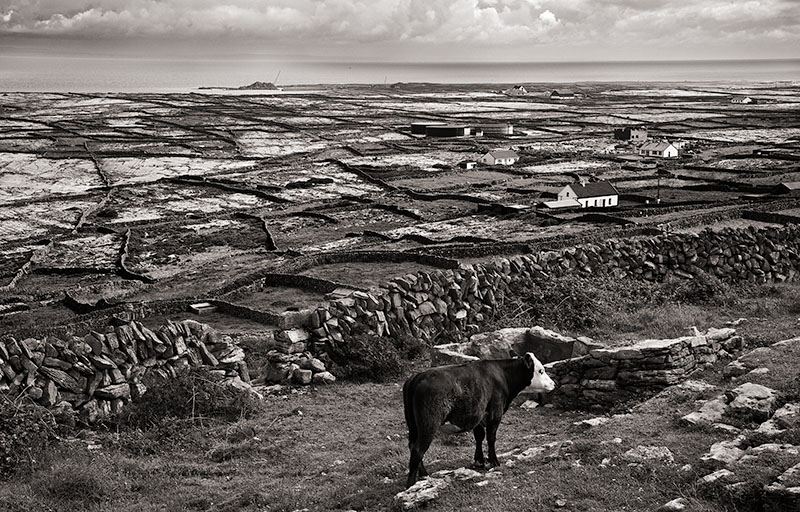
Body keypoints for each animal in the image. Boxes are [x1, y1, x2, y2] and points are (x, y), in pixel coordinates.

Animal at [404, 352, 552, 488]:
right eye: (541, 370)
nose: (553, 383)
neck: (502, 376)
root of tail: (417, 377)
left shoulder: (478, 415)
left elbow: (479, 436)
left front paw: (479, 461)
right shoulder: (495, 413)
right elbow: (491, 438)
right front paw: (494, 461)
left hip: (413, 426)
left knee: (412, 446)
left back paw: (424, 475)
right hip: (428, 424)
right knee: (418, 450)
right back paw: (411, 485)